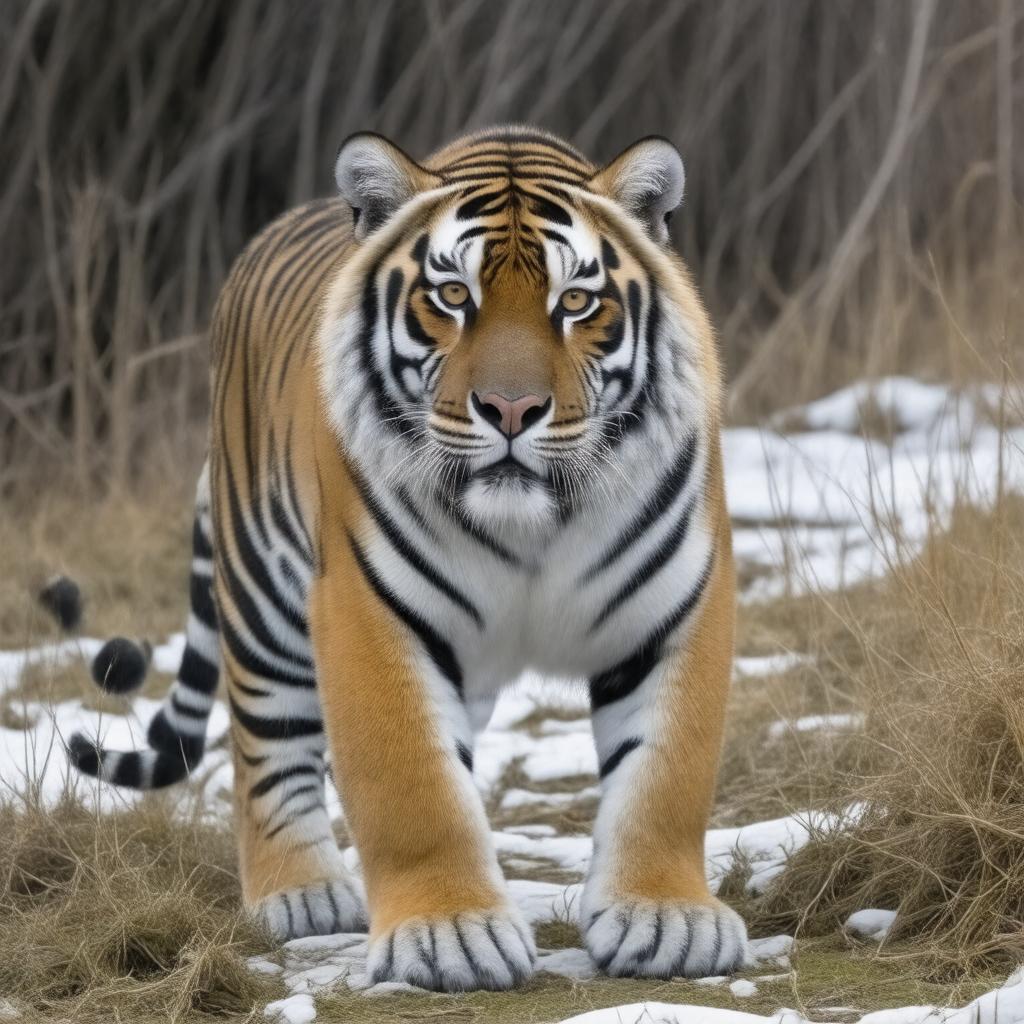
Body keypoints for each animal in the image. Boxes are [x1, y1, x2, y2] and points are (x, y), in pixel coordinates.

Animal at [68, 125, 747, 991]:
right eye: (453, 296)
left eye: (575, 302)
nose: (512, 409)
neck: (535, 529)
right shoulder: (366, 607)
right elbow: (412, 781)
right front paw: (448, 934)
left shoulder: (678, 602)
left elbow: (666, 774)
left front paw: (665, 919)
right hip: (261, 598)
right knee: (267, 747)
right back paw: (301, 893)